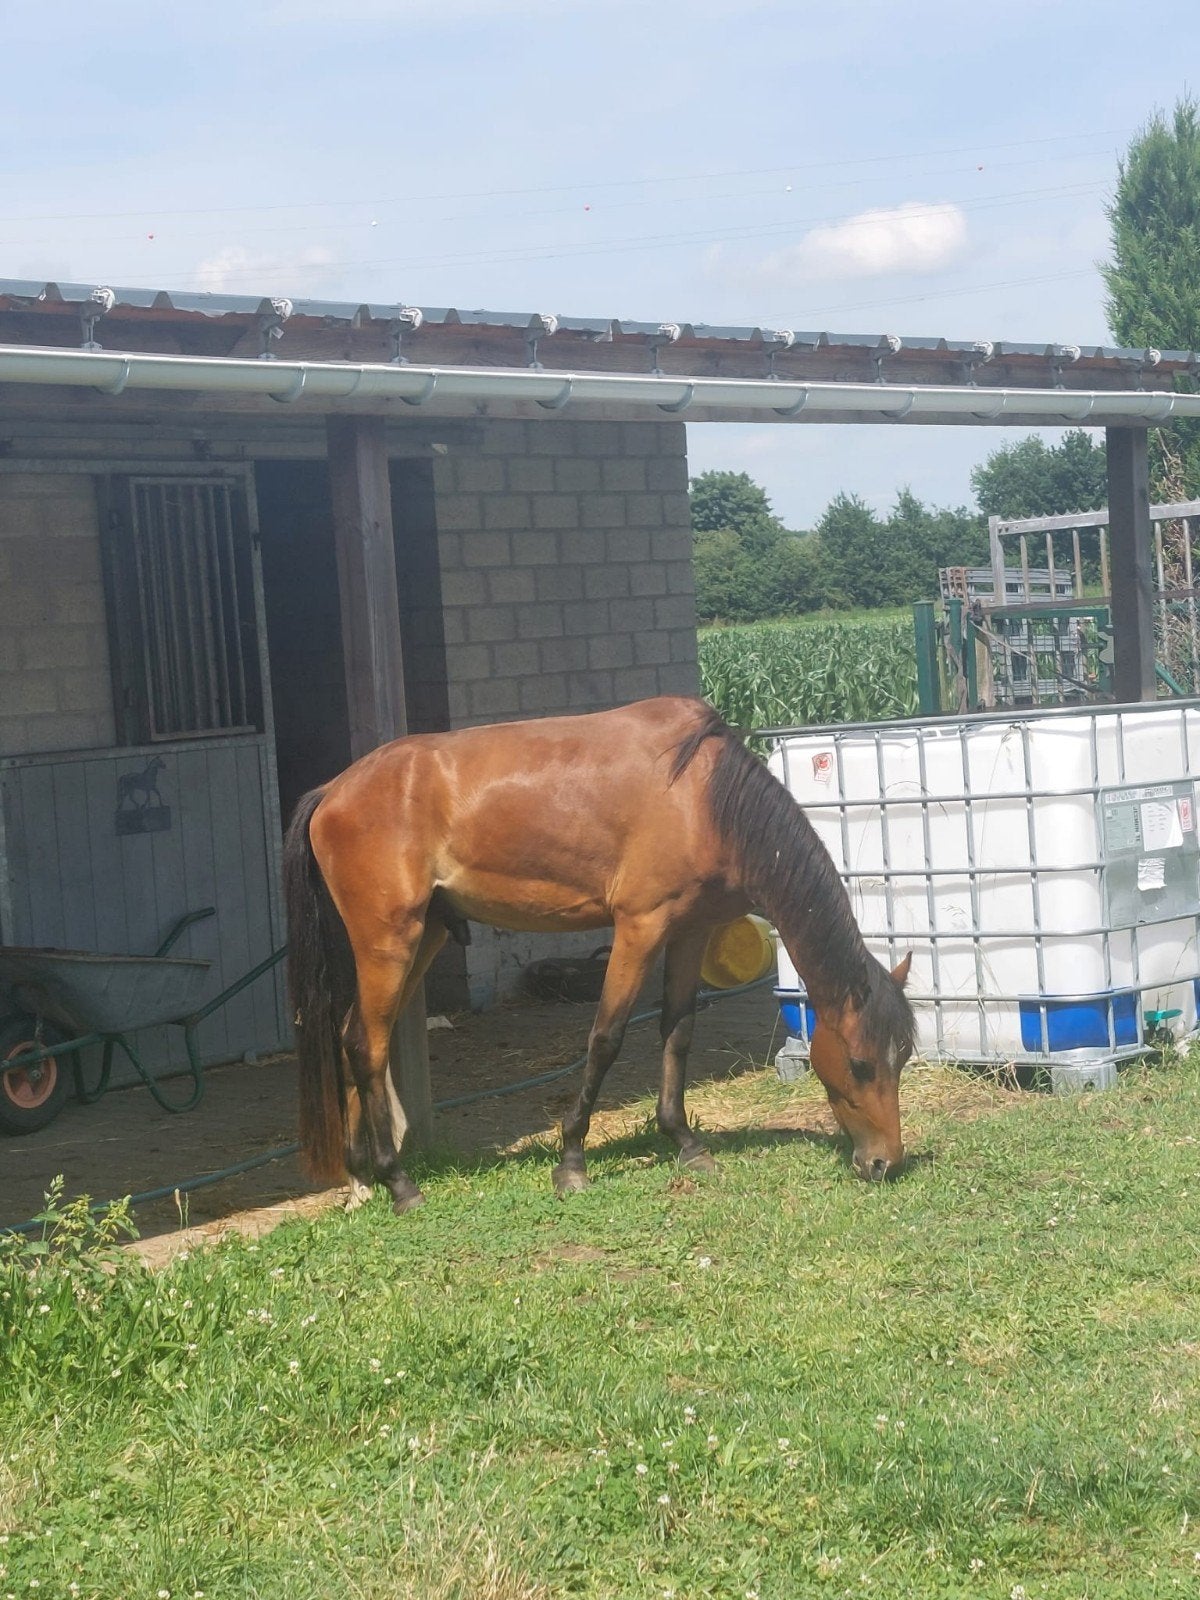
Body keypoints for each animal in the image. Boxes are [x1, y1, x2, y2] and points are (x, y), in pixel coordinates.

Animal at [282, 695, 915, 1213]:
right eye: (861, 1064)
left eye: (902, 1058)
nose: (884, 1162)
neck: (704, 798)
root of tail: (332, 791)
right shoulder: (639, 927)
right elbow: (606, 1039)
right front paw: (571, 1162)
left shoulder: (689, 931)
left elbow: (678, 1033)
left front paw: (685, 1143)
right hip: (389, 940)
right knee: (367, 1045)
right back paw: (397, 1183)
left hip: (423, 937)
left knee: (354, 1034)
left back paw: (360, 1179)